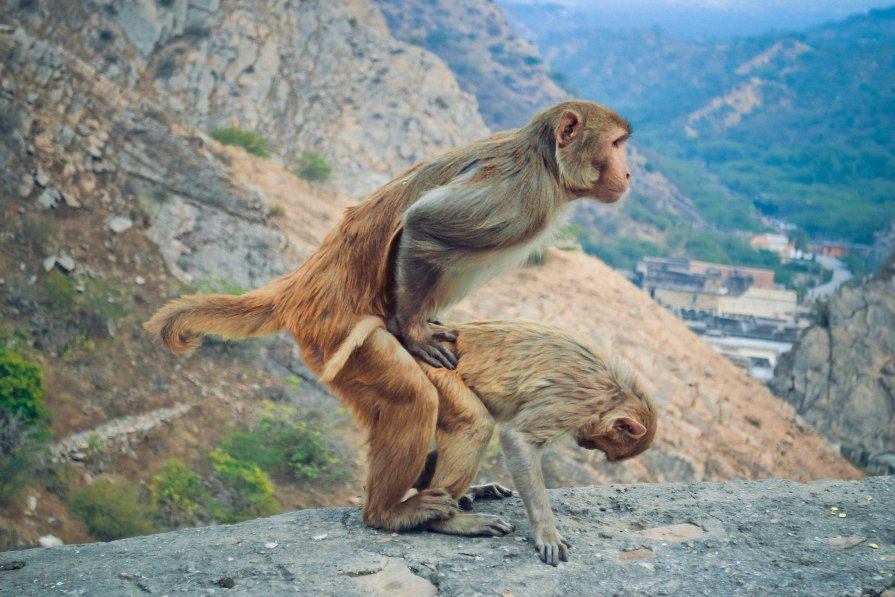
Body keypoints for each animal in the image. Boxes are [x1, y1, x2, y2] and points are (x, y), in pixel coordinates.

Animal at [144, 100, 632, 532]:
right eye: (616, 144)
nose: (628, 173)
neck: (547, 163)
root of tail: (300, 287)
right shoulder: (519, 195)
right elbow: (422, 224)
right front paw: (417, 334)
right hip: (336, 341)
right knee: (415, 399)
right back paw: (392, 513)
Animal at [318, 316, 656, 564]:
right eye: (606, 446)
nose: (586, 445)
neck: (615, 392)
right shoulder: (571, 406)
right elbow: (516, 439)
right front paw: (547, 533)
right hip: (430, 366)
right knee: (473, 423)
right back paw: (439, 519)